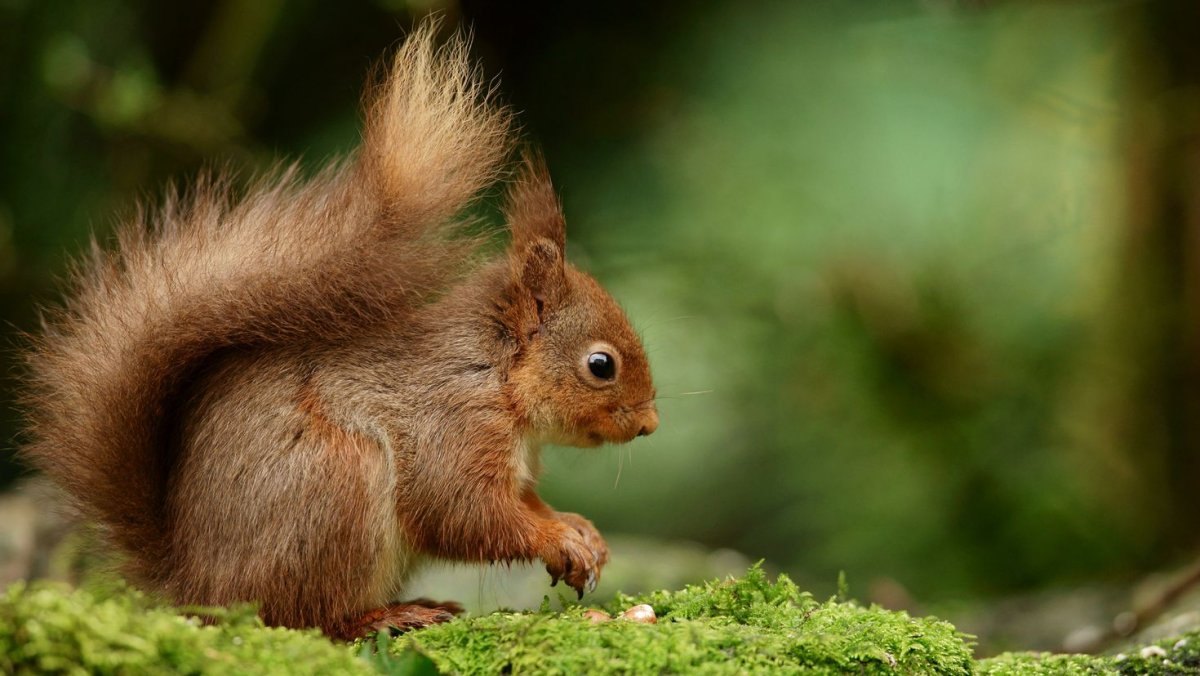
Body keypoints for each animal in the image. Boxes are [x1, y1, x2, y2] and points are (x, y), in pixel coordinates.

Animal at [20, 22, 658, 640]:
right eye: (601, 365)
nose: (650, 425)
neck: (496, 374)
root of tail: (197, 588)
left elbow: (524, 504)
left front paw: (579, 529)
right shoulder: (451, 425)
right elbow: (465, 513)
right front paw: (557, 539)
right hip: (338, 486)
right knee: (306, 616)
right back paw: (388, 616)